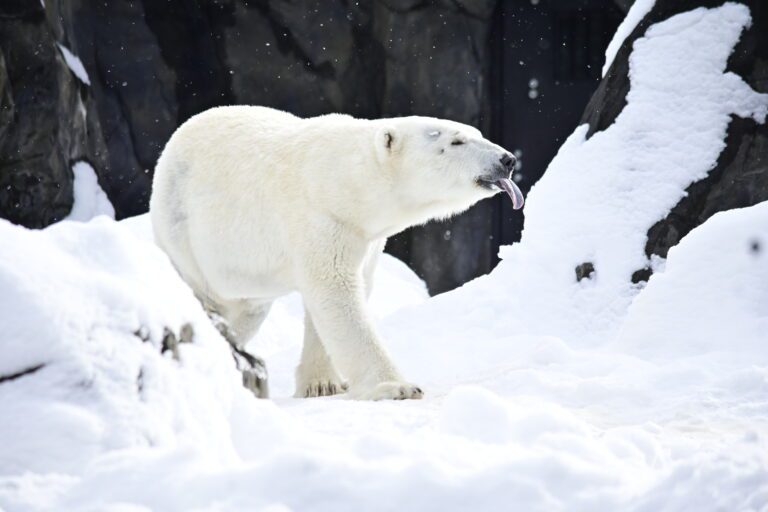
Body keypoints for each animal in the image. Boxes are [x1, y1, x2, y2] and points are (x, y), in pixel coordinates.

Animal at [150, 107, 520, 400]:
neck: (346, 182)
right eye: (455, 142)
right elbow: (336, 292)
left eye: (478, 134)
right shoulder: (323, 218)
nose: (507, 160)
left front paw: (321, 384)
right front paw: (396, 387)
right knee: (208, 298)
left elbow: (339, 295)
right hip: (184, 234)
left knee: (246, 312)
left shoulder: (366, 239)